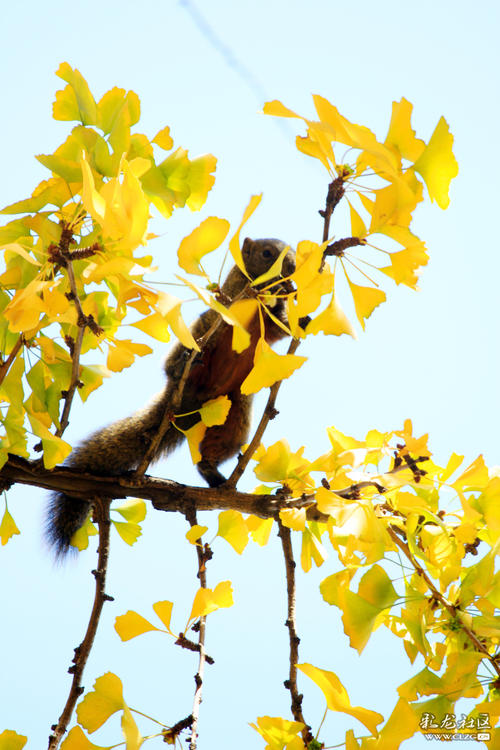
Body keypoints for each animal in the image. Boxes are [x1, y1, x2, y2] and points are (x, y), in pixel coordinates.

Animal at [46, 239, 296, 560]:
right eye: (267, 253)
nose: (291, 268)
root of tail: (190, 400)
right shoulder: (233, 296)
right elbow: (247, 294)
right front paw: (274, 289)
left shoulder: (274, 328)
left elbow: (283, 326)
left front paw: (294, 302)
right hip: (200, 332)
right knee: (184, 355)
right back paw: (181, 366)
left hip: (234, 418)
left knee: (211, 454)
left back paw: (216, 477)